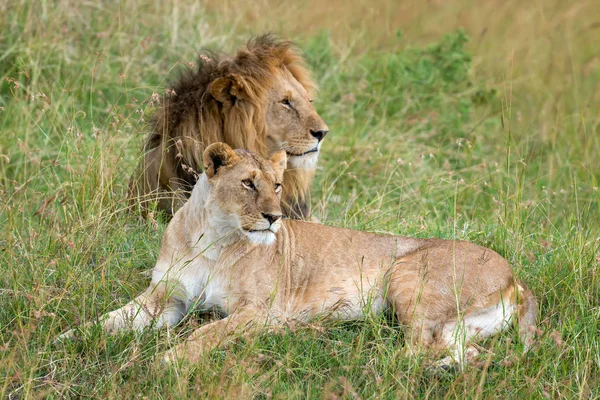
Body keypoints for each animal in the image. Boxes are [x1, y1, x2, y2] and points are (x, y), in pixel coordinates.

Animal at [61, 142, 540, 368]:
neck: (213, 238)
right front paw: (71, 337)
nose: (274, 218)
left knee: (415, 348)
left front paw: (170, 360)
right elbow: (114, 318)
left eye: (276, 184)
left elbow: (208, 333)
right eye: (248, 183)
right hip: (462, 325)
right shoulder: (166, 298)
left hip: (406, 272)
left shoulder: (259, 310)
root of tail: (516, 276)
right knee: (459, 351)